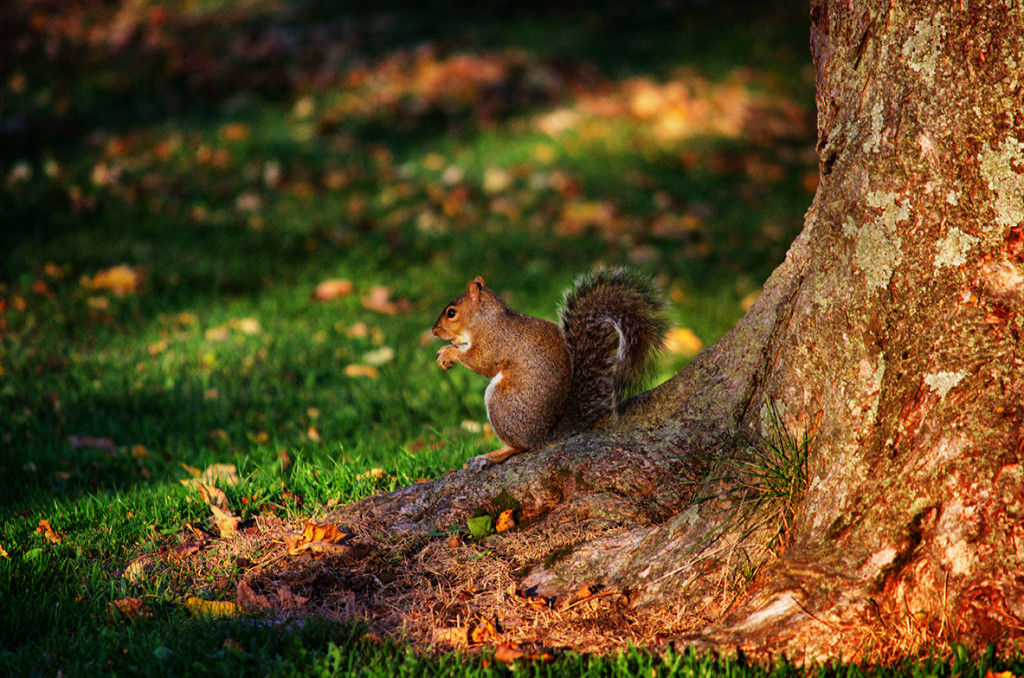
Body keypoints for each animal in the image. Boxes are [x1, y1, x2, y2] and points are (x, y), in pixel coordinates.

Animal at [430, 268, 663, 464]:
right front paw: (447, 350)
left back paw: (492, 456)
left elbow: (481, 363)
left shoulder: (493, 342)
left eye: (451, 313)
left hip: (500, 401)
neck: (485, 319)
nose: (433, 331)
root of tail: (544, 436)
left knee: (519, 446)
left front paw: (449, 352)